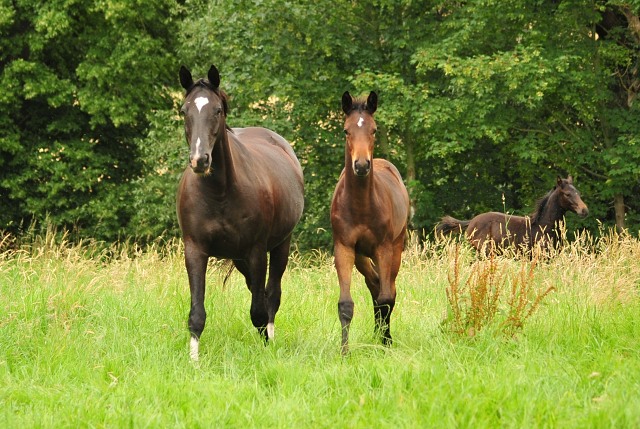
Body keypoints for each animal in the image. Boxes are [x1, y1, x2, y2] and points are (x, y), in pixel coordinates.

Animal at [176, 65, 304, 360]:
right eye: (184, 110)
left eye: (217, 110)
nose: (200, 160)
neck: (219, 192)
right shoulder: (195, 250)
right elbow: (196, 314)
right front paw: (193, 361)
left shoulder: (256, 252)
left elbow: (259, 311)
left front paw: (266, 351)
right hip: (239, 258)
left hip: (280, 246)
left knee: (271, 295)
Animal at [330, 91, 410, 354]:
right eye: (346, 130)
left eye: (374, 130)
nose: (362, 165)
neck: (360, 205)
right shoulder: (344, 248)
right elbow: (346, 304)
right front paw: (344, 352)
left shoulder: (383, 248)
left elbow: (386, 298)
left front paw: (386, 345)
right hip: (361, 256)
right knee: (375, 284)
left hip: (396, 247)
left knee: (388, 290)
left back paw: (384, 336)